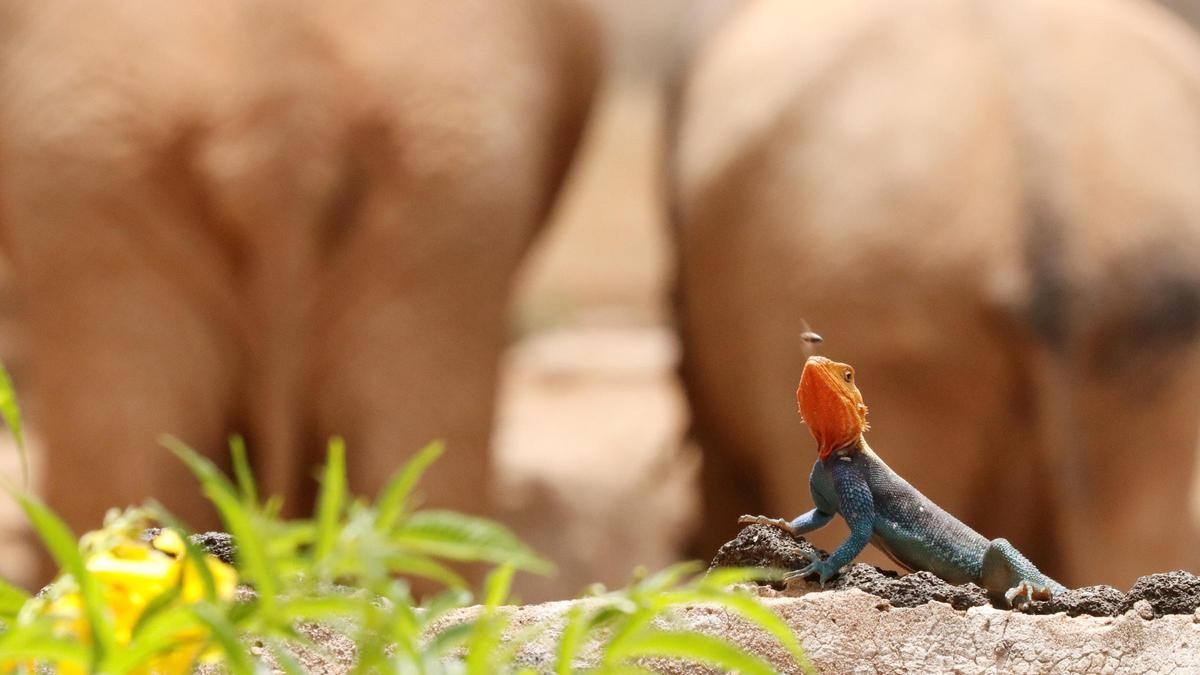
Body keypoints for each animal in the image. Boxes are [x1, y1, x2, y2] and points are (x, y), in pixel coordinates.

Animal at [672, 0, 1200, 586]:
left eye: (848, 375)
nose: (815, 360)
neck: (838, 450)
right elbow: (813, 517)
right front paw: (775, 524)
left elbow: (853, 532)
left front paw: (816, 567)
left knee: (1001, 547)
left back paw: (1035, 588)